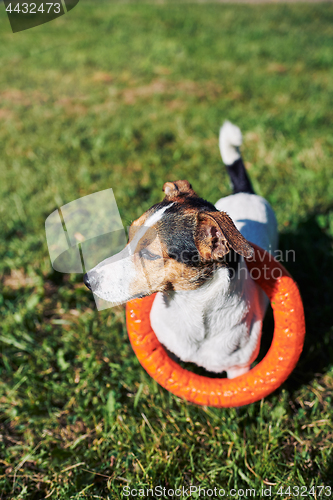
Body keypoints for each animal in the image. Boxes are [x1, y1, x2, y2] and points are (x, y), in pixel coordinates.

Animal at [83, 122, 278, 378]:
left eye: (150, 254)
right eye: (130, 235)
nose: (87, 280)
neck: (188, 307)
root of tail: (244, 192)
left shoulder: (239, 368)